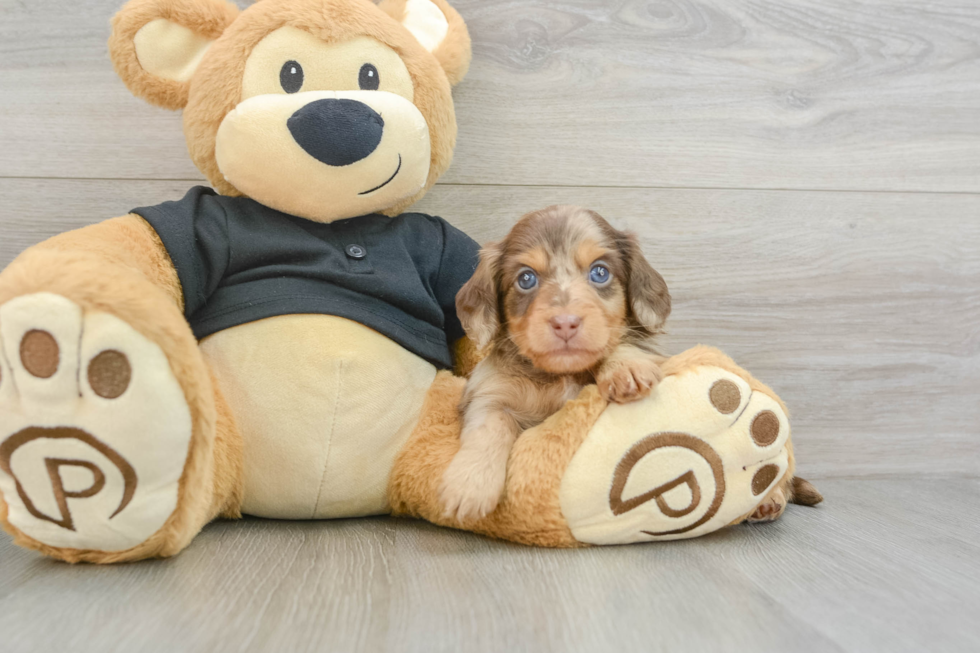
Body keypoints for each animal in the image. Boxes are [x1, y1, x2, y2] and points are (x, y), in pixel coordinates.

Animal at [440, 204, 668, 520]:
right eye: (526, 279)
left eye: (600, 272)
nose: (565, 323)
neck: (559, 375)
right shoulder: (489, 394)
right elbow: (492, 425)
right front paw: (469, 484)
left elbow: (618, 343)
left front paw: (625, 367)